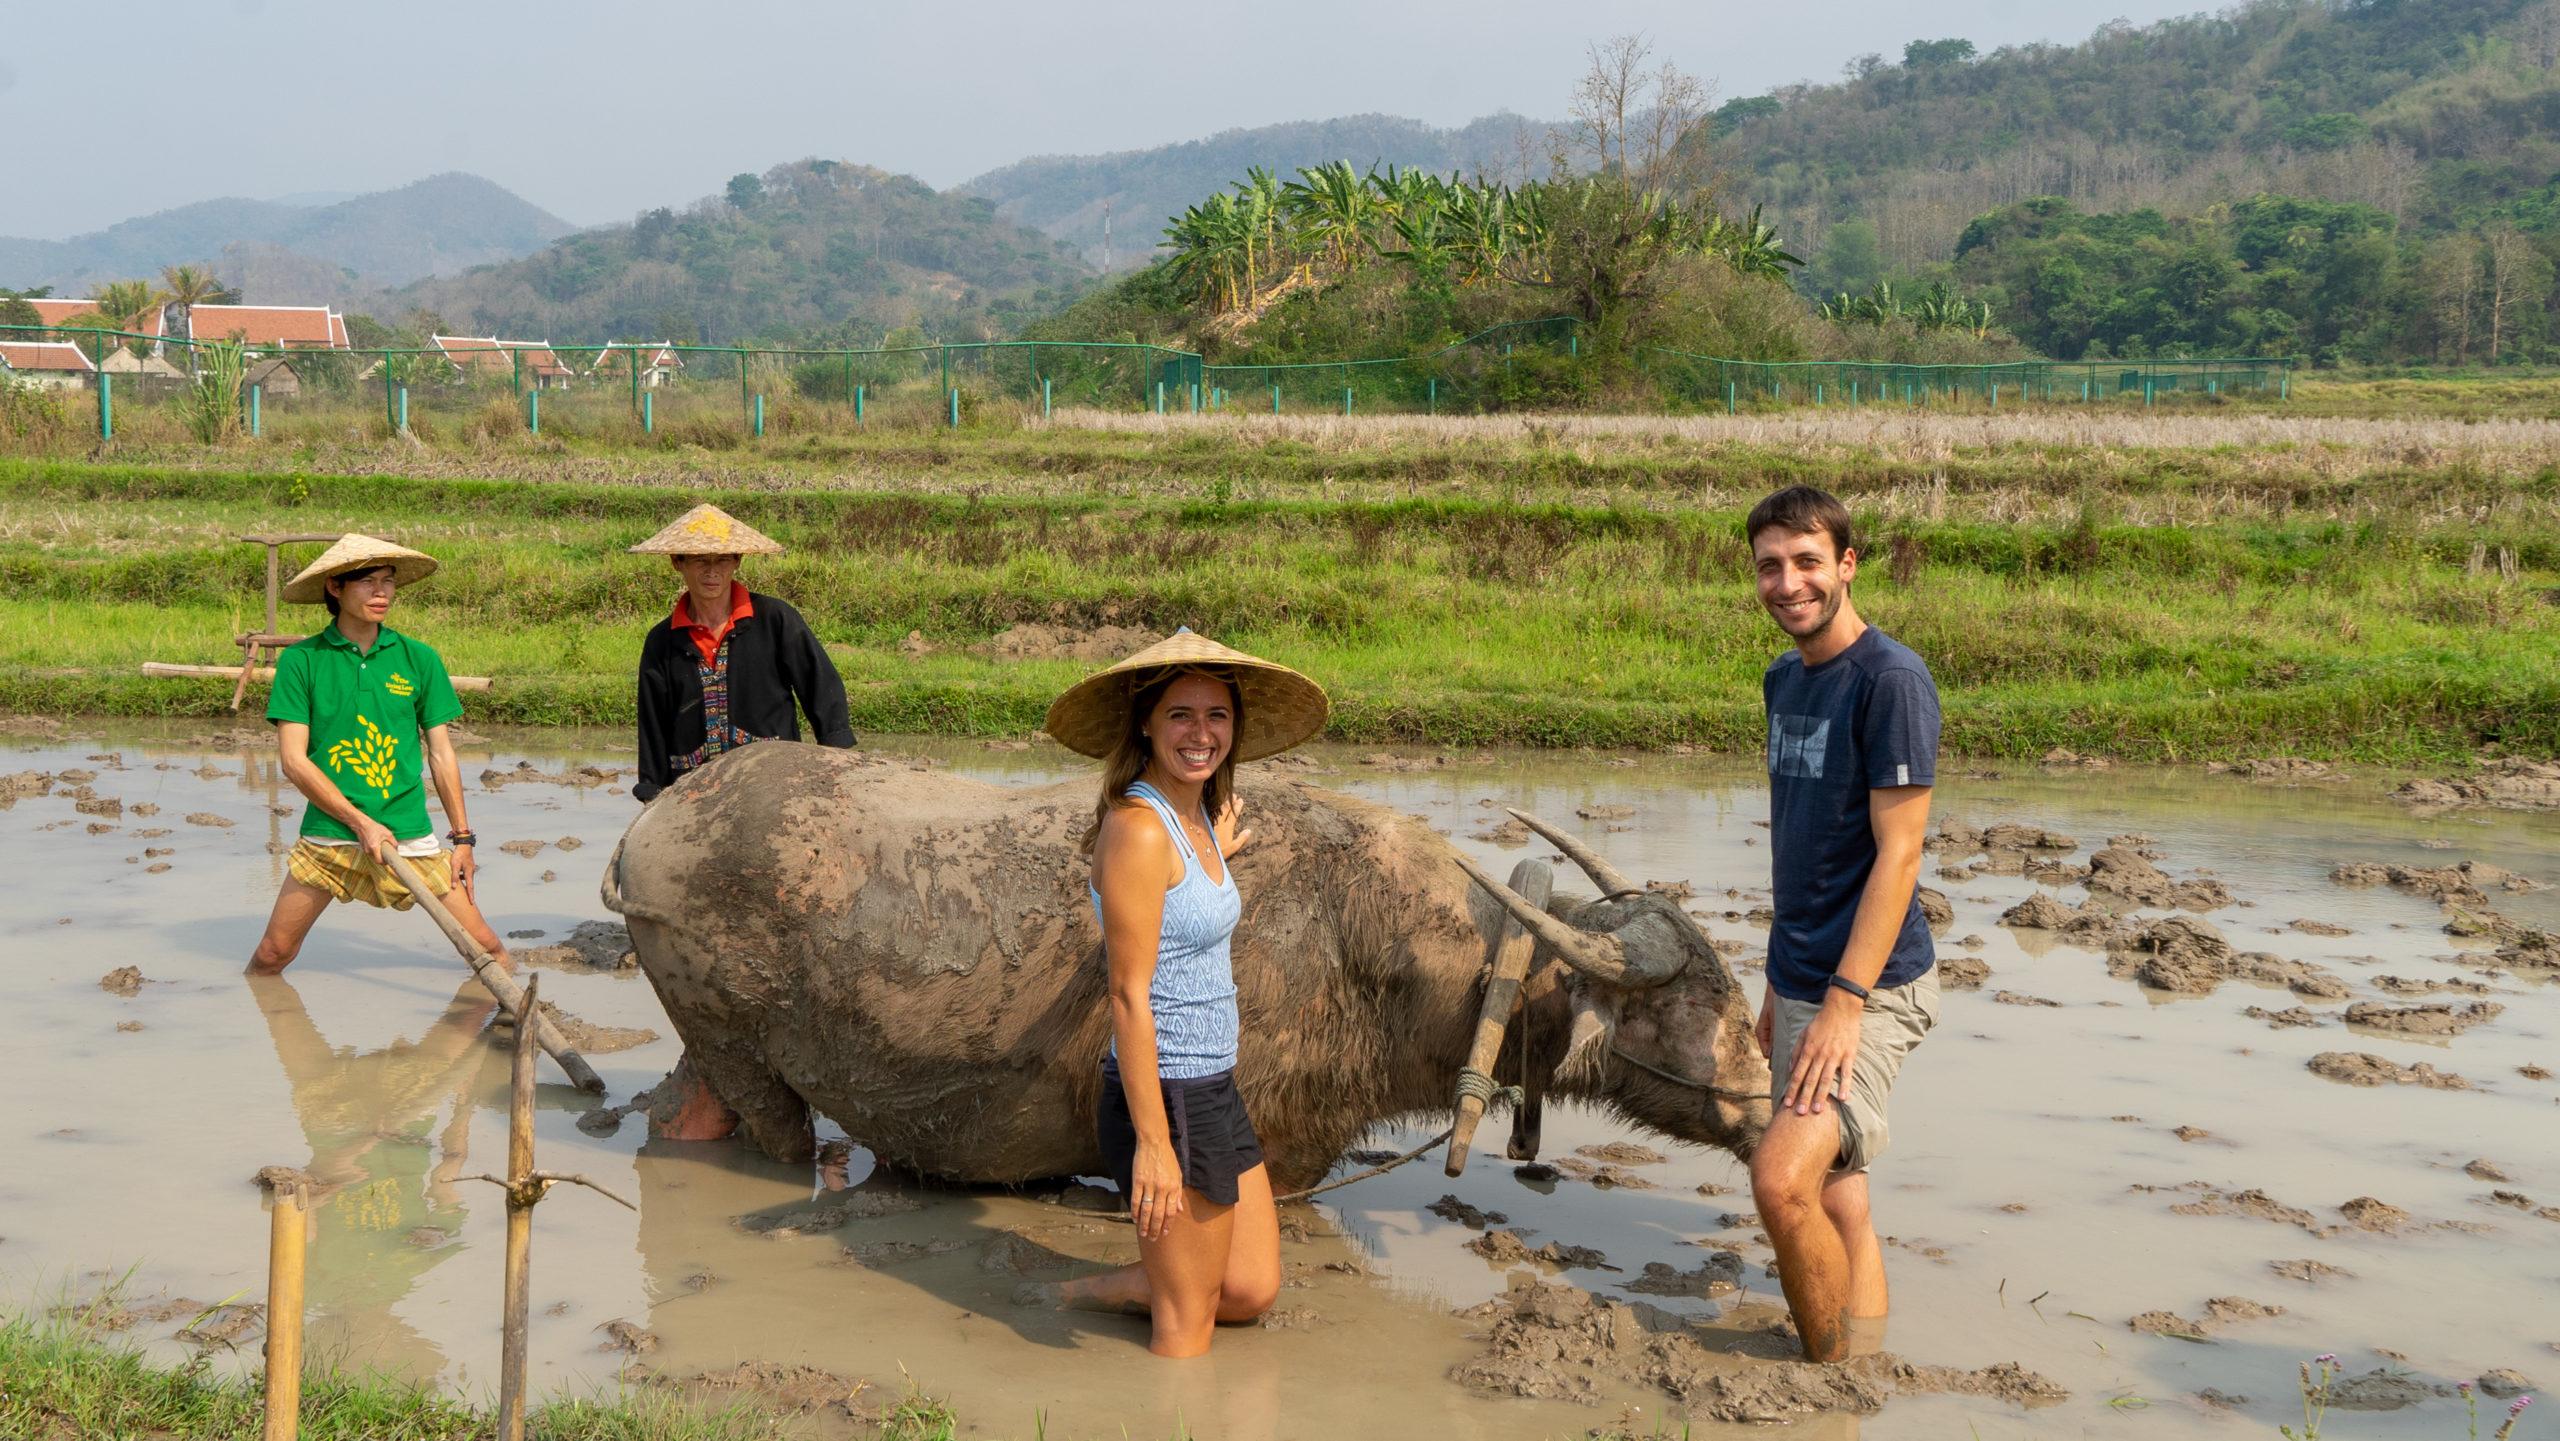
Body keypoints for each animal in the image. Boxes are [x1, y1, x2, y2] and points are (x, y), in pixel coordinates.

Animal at [601, 742, 1771, 1197]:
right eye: (1695, 1004)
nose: (1772, 1106)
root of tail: (654, 830)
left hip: (704, 1047)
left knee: (679, 1116)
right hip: (740, 1049)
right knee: (772, 1132)